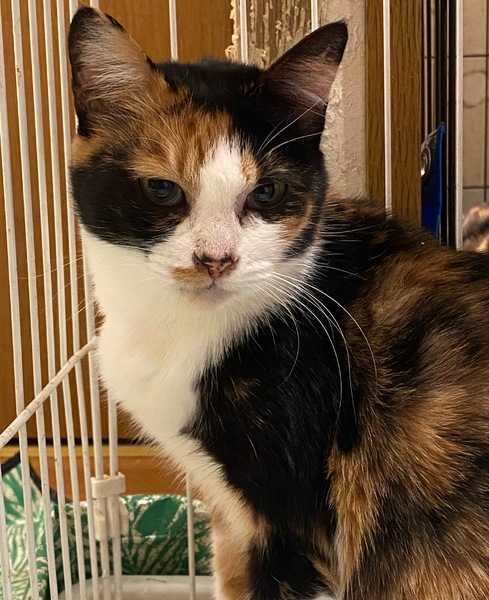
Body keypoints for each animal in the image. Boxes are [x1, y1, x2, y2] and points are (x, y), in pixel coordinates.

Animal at [68, 8, 489, 600]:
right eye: (161, 189)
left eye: (266, 192)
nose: (215, 259)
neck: (182, 331)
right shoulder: (230, 513)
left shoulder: (291, 521)